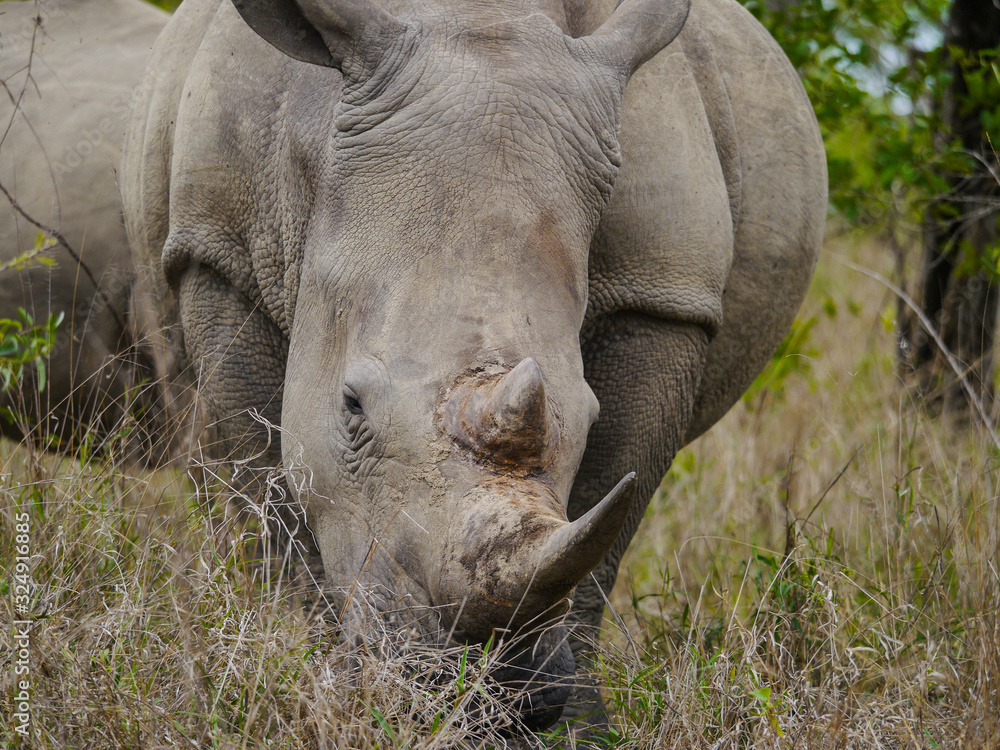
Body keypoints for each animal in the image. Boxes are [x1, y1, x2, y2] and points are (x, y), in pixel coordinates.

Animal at [121, 0, 826, 732]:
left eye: (588, 415)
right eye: (351, 405)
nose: (482, 684)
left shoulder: (663, 292)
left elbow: (604, 525)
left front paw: (575, 730)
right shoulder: (217, 253)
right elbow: (273, 509)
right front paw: (319, 696)